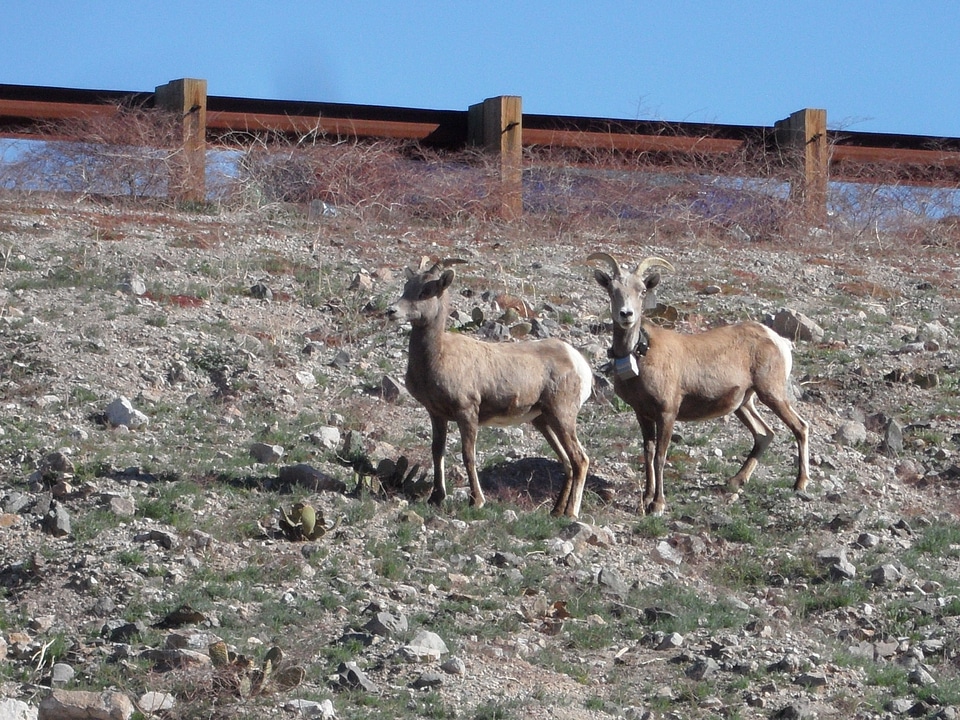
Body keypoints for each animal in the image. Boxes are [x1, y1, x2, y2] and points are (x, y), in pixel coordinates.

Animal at [384, 262, 592, 516]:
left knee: (580, 460)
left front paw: (477, 501)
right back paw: (555, 512)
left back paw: (570, 513)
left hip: (562, 416)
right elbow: (437, 452)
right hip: (543, 420)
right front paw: (436, 498)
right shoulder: (437, 415)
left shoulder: (467, 413)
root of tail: (578, 362)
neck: (438, 355)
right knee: (567, 462)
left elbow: (468, 456)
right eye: (407, 287)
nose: (391, 311)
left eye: (426, 291)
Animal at [588, 250, 808, 516]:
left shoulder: (667, 413)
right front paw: (646, 497)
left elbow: (660, 456)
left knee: (800, 427)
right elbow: (648, 454)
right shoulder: (643, 414)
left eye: (641, 290)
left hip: (771, 394)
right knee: (764, 434)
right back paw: (735, 482)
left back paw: (800, 484)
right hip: (744, 404)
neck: (640, 354)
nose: (626, 315)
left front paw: (658, 504)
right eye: (612, 290)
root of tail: (778, 340)